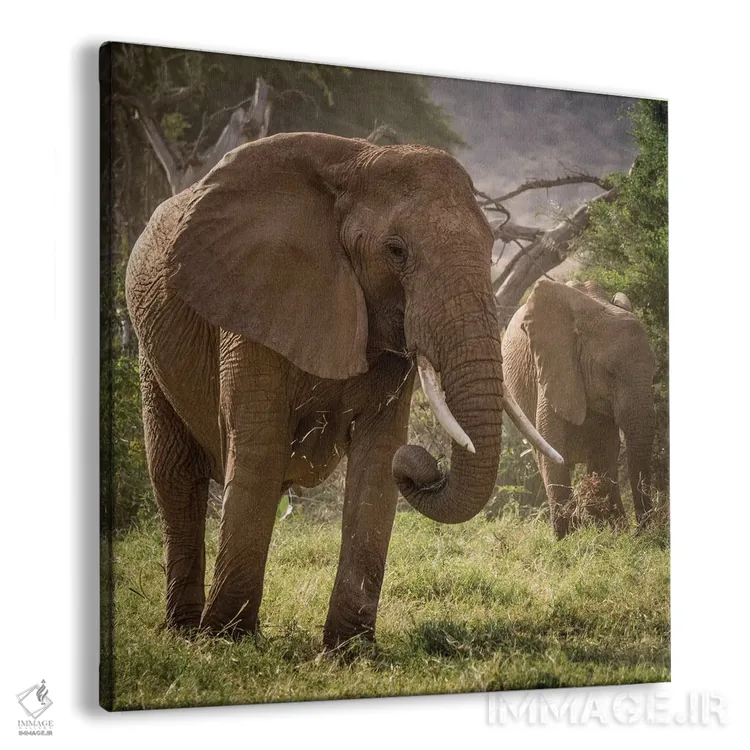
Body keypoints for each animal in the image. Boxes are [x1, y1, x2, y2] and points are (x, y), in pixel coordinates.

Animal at [125, 131, 562, 648]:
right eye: (396, 251)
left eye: (490, 243)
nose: (423, 463)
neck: (355, 162)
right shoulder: (254, 300)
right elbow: (259, 448)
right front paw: (226, 641)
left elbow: (378, 456)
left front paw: (348, 651)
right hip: (150, 351)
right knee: (176, 477)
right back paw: (184, 633)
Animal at [501, 279, 656, 539]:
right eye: (609, 374)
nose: (641, 532)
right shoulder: (554, 369)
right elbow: (552, 449)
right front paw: (568, 539)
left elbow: (605, 454)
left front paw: (609, 532)